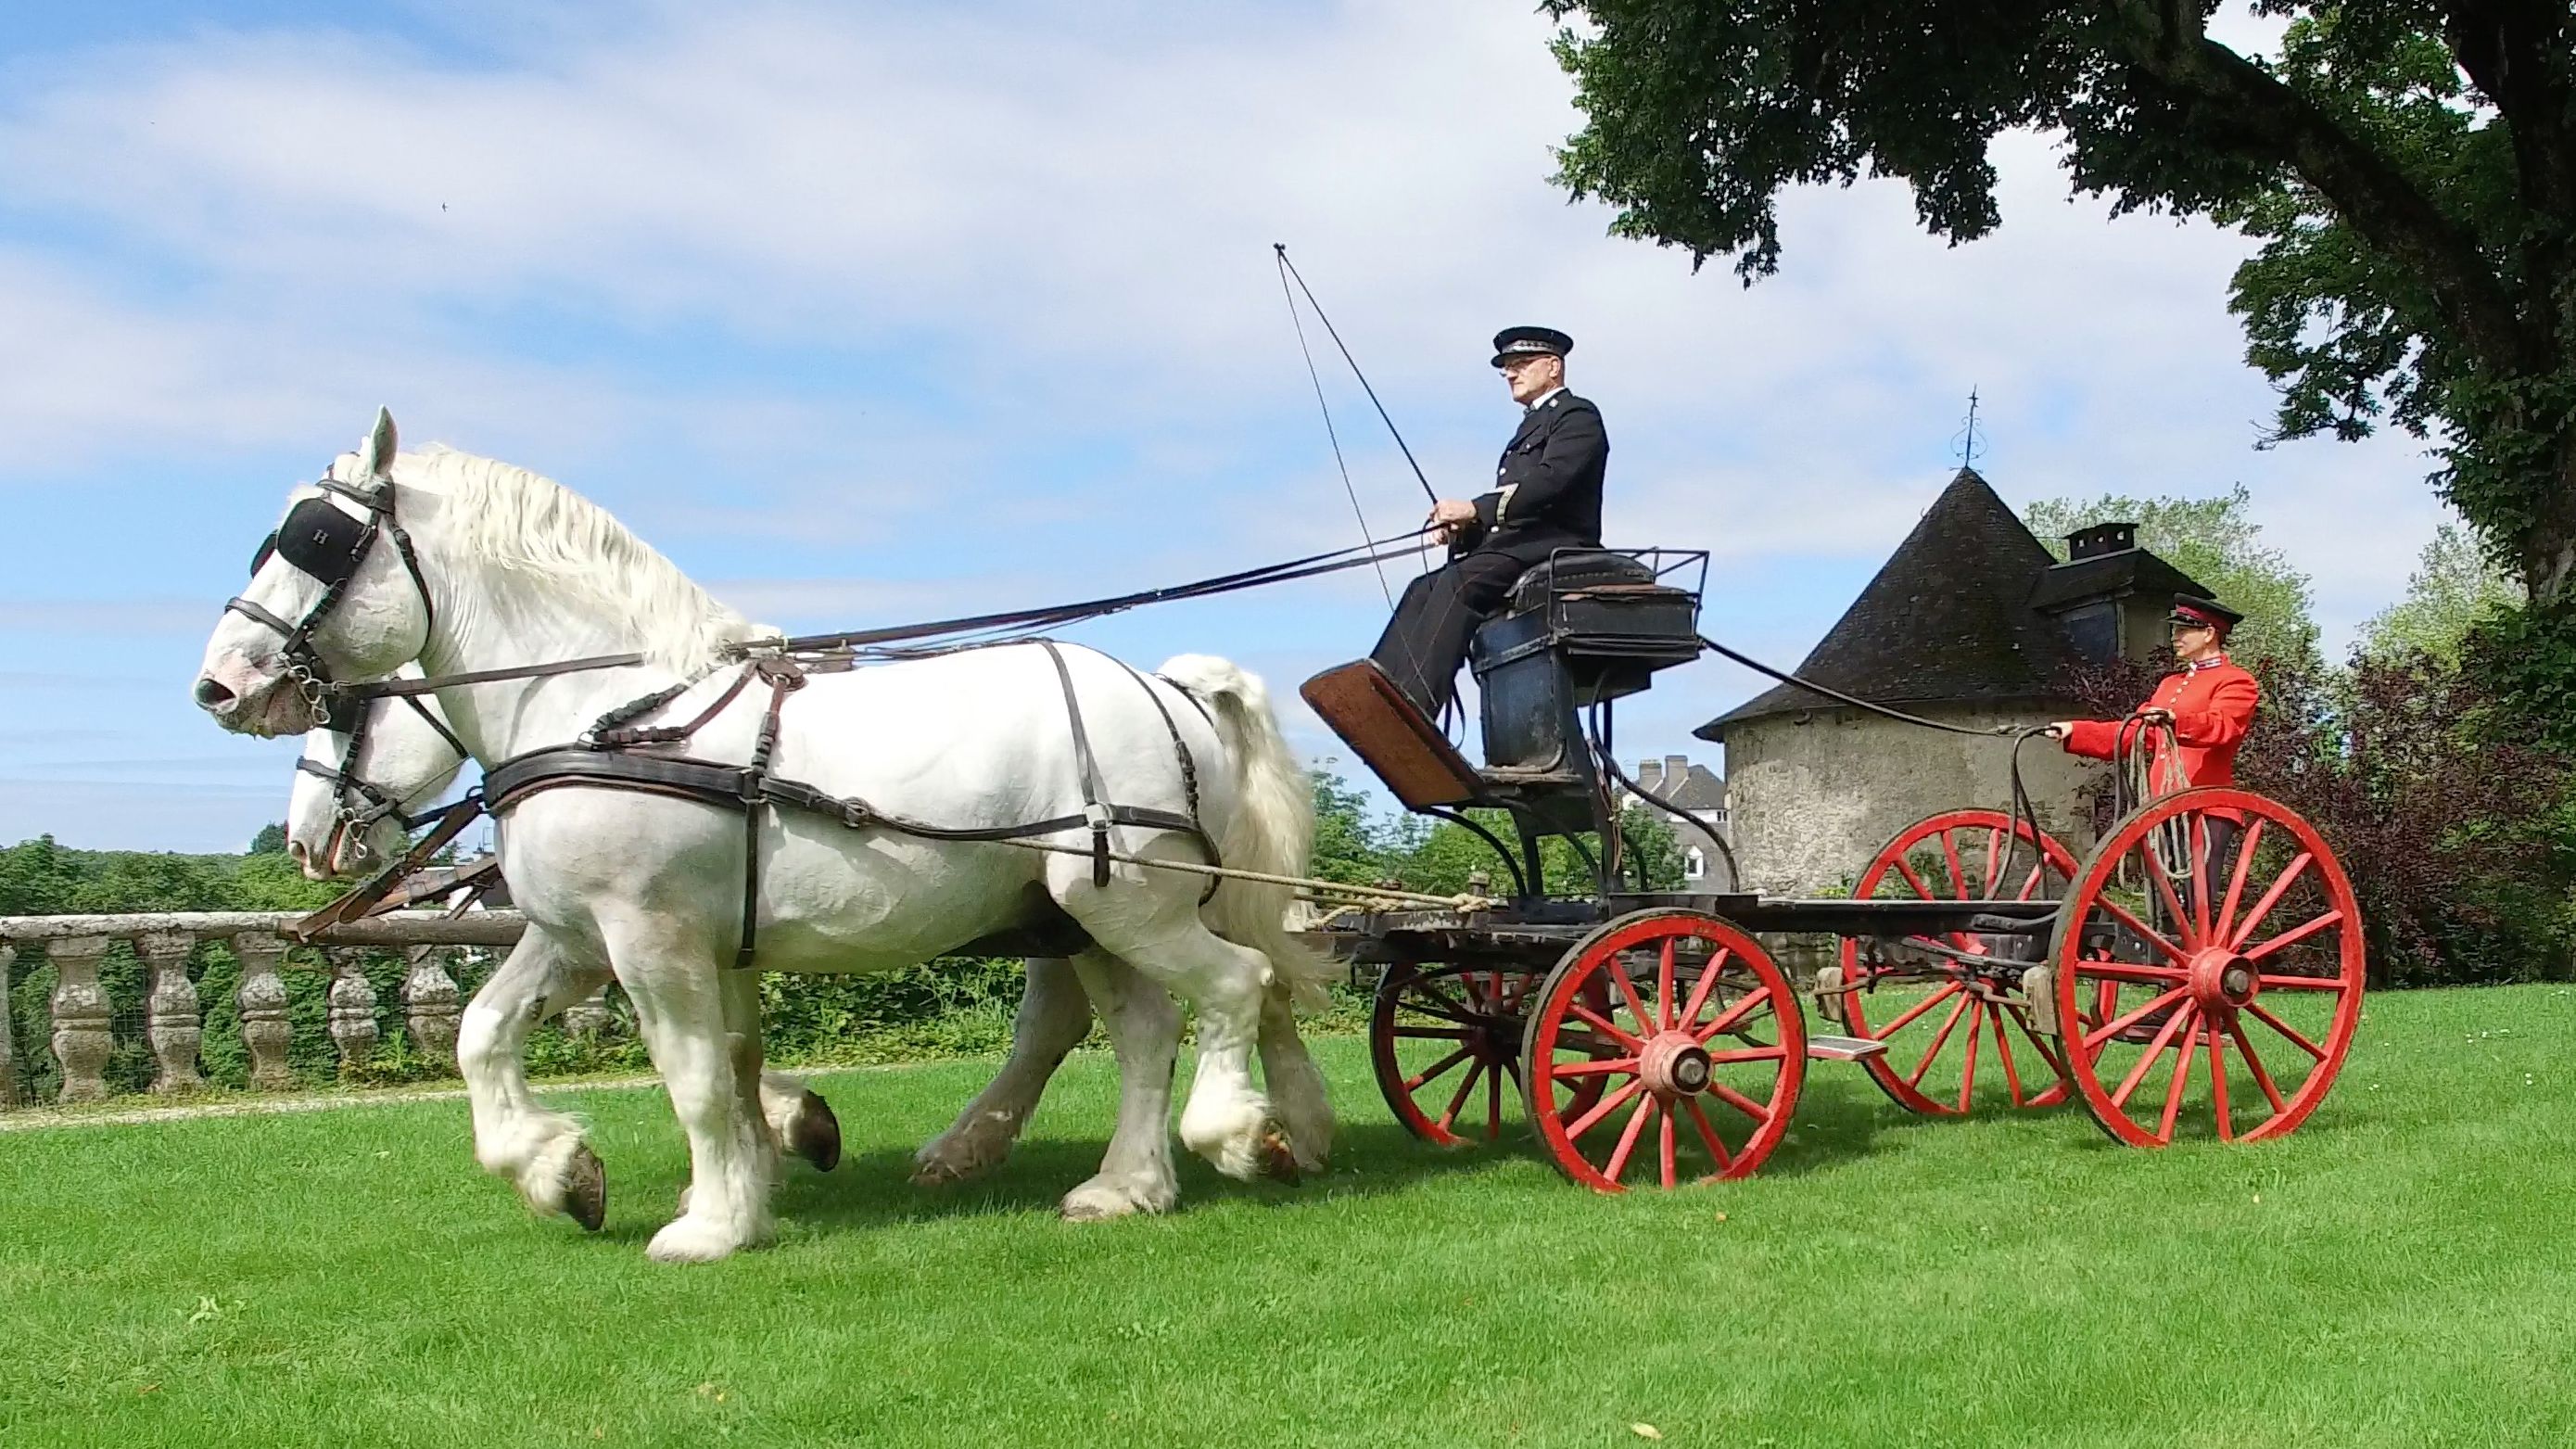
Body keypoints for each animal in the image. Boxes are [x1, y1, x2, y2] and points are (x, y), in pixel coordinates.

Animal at [203, 407, 1339, 1252]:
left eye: (313, 540)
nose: (219, 685)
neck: (609, 711)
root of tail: (1171, 686)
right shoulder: (583, 938)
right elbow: (489, 1035)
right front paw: (565, 1171)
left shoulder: (649, 936)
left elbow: (699, 1076)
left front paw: (712, 1220)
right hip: (1083, 915)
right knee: (1145, 1026)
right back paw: (1127, 1182)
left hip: (1125, 900)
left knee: (1235, 985)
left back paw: (1238, 1134)